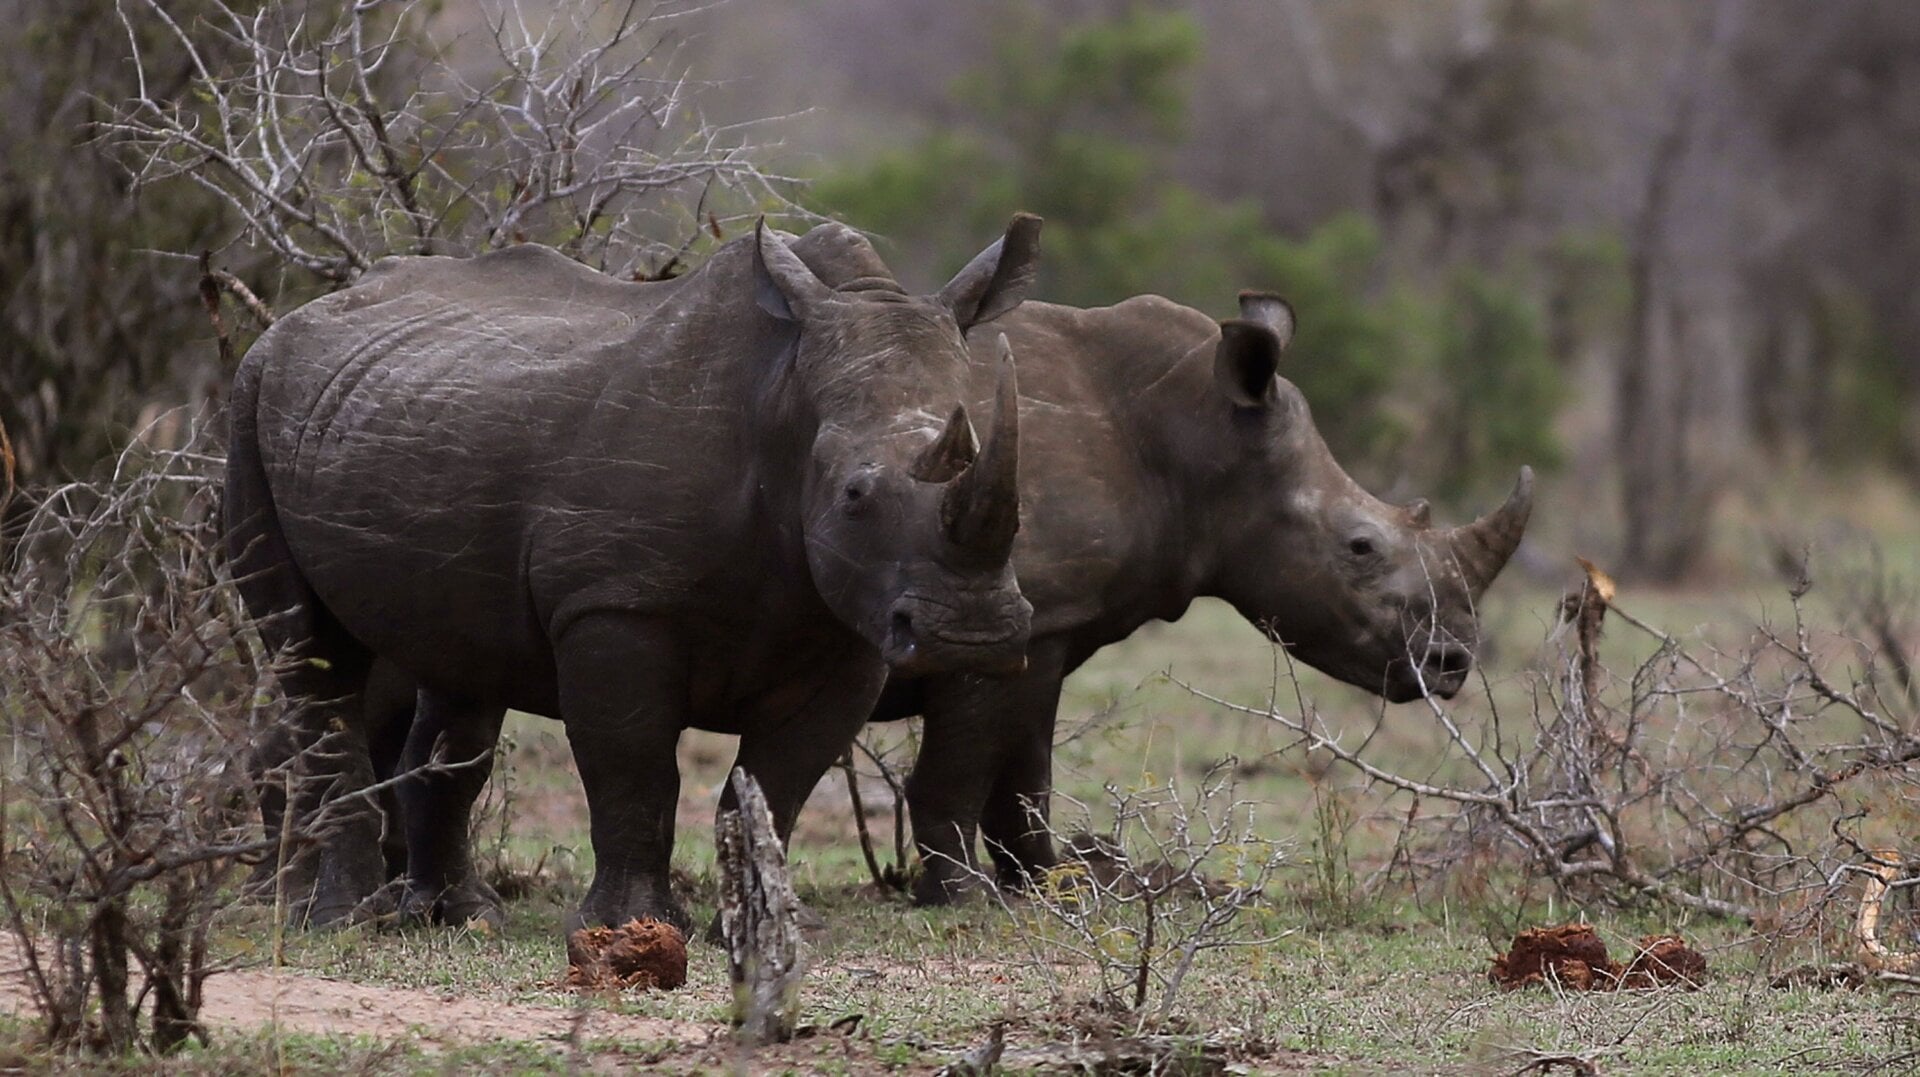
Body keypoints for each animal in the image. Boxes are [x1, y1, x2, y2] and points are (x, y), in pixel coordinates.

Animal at [226, 217, 1043, 933]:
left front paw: (774, 922)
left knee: (460, 672)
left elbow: (779, 781)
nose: (973, 634)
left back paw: (459, 918)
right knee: (311, 652)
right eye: (854, 495)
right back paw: (341, 922)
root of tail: (288, 323)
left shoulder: (851, 630)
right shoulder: (613, 603)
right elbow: (633, 767)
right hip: (249, 397)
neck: (785, 401)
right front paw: (632, 925)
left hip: (407, 415)